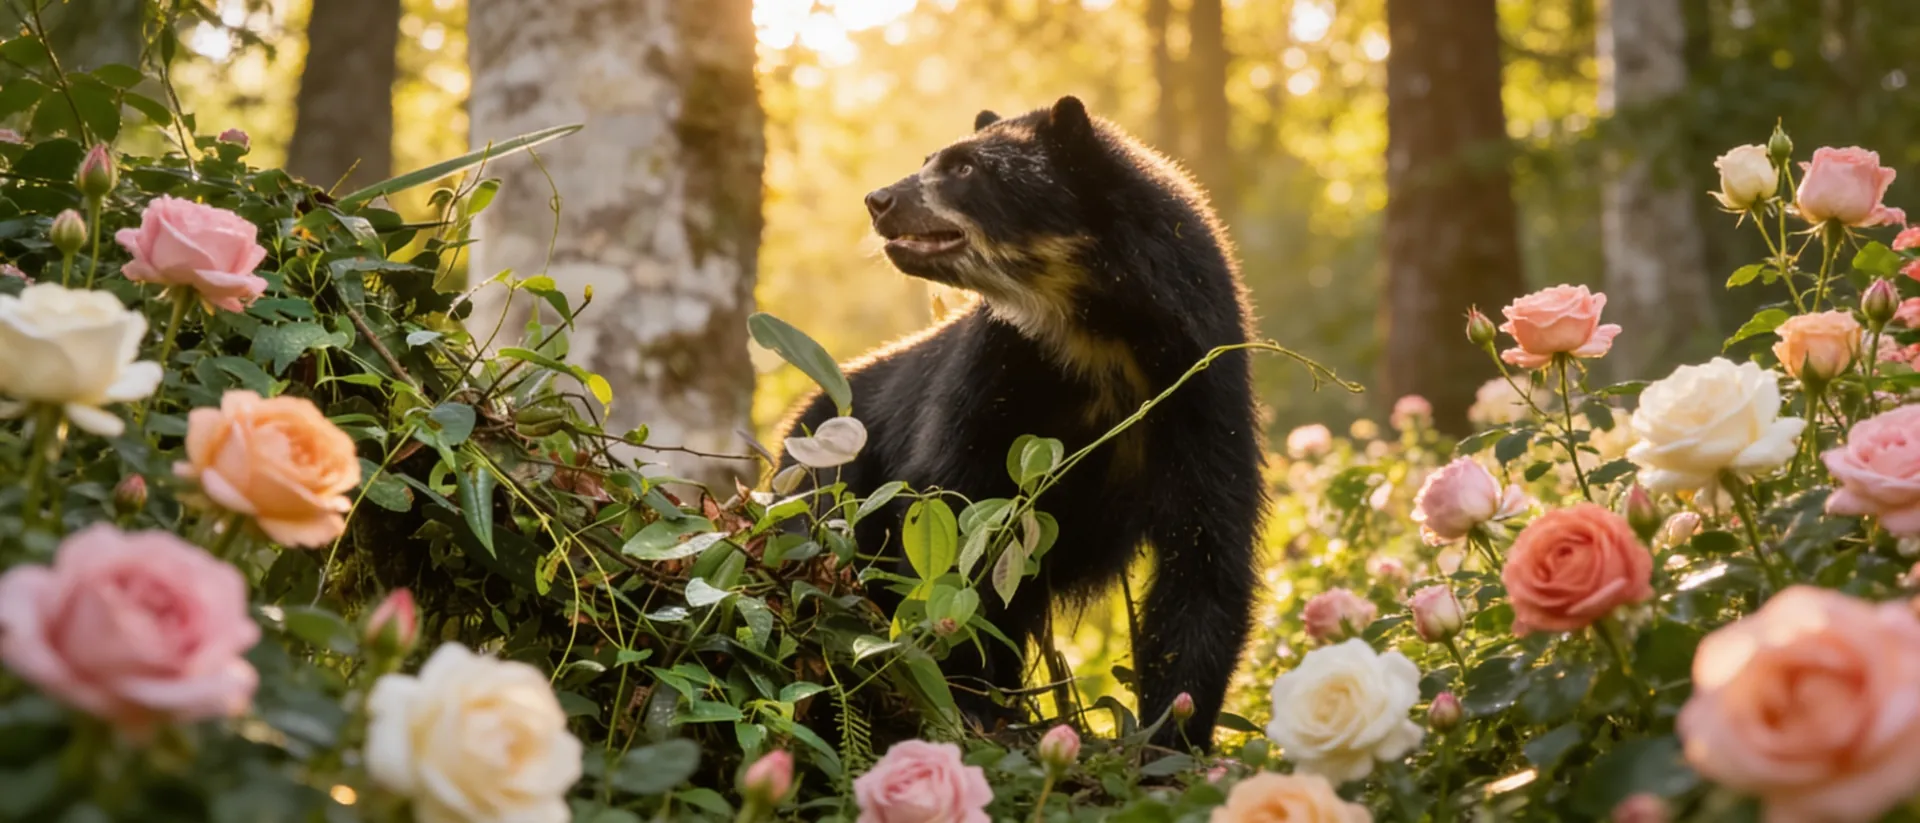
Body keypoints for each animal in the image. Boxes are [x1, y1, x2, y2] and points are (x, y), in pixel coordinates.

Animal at [773, 96, 1263, 750]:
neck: (1096, 331)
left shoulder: (1201, 385)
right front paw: (965, 695)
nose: (879, 200)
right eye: (929, 159)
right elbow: (956, 516)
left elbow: (1207, 547)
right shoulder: (995, 370)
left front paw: (1172, 730)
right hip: (829, 476)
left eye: (965, 168)